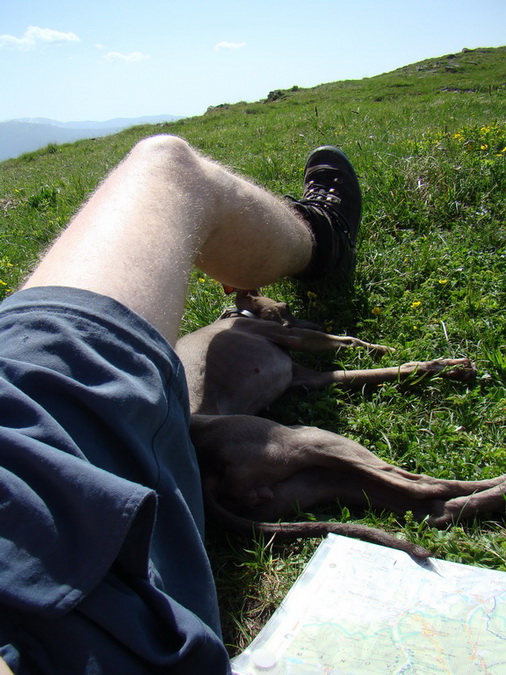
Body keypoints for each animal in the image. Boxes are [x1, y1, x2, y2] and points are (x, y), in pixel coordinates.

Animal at [176, 292, 504, 560]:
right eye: (287, 306)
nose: (319, 324)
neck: (239, 316)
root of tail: (207, 477)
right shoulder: (295, 337)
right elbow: (352, 341)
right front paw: (396, 351)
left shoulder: (308, 377)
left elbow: (380, 371)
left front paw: (446, 368)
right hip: (306, 439)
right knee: (422, 485)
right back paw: (500, 483)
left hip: (312, 482)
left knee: (432, 510)